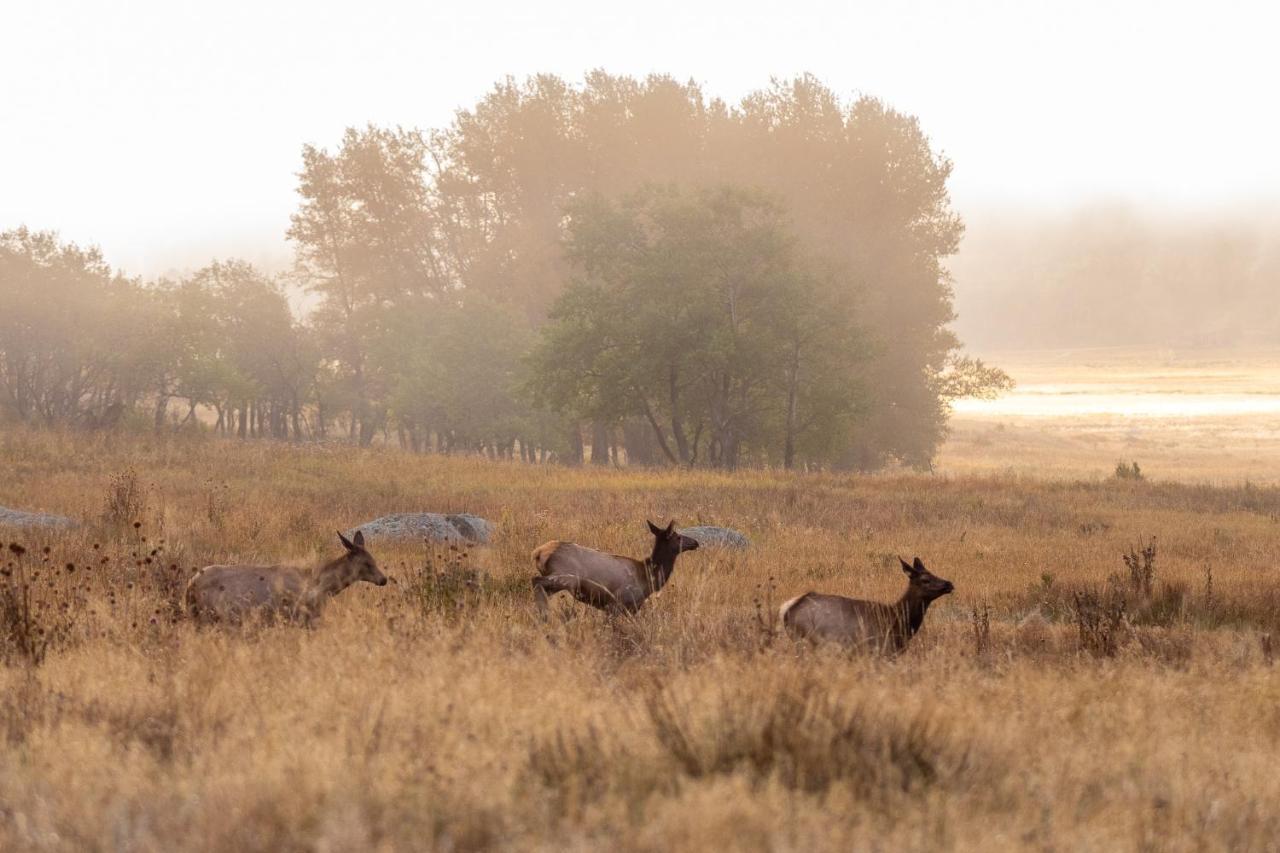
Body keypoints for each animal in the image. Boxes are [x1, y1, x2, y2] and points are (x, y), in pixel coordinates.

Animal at [535, 514, 706, 614]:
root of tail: (538, 553)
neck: (648, 578)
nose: (695, 542)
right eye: (678, 537)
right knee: (536, 581)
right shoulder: (617, 603)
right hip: (565, 576)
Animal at [778, 555, 952, 653]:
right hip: (804, 639)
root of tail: (787, 609)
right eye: (925, 579)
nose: (949, 583)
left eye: (933, 572)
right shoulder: (878, 649)